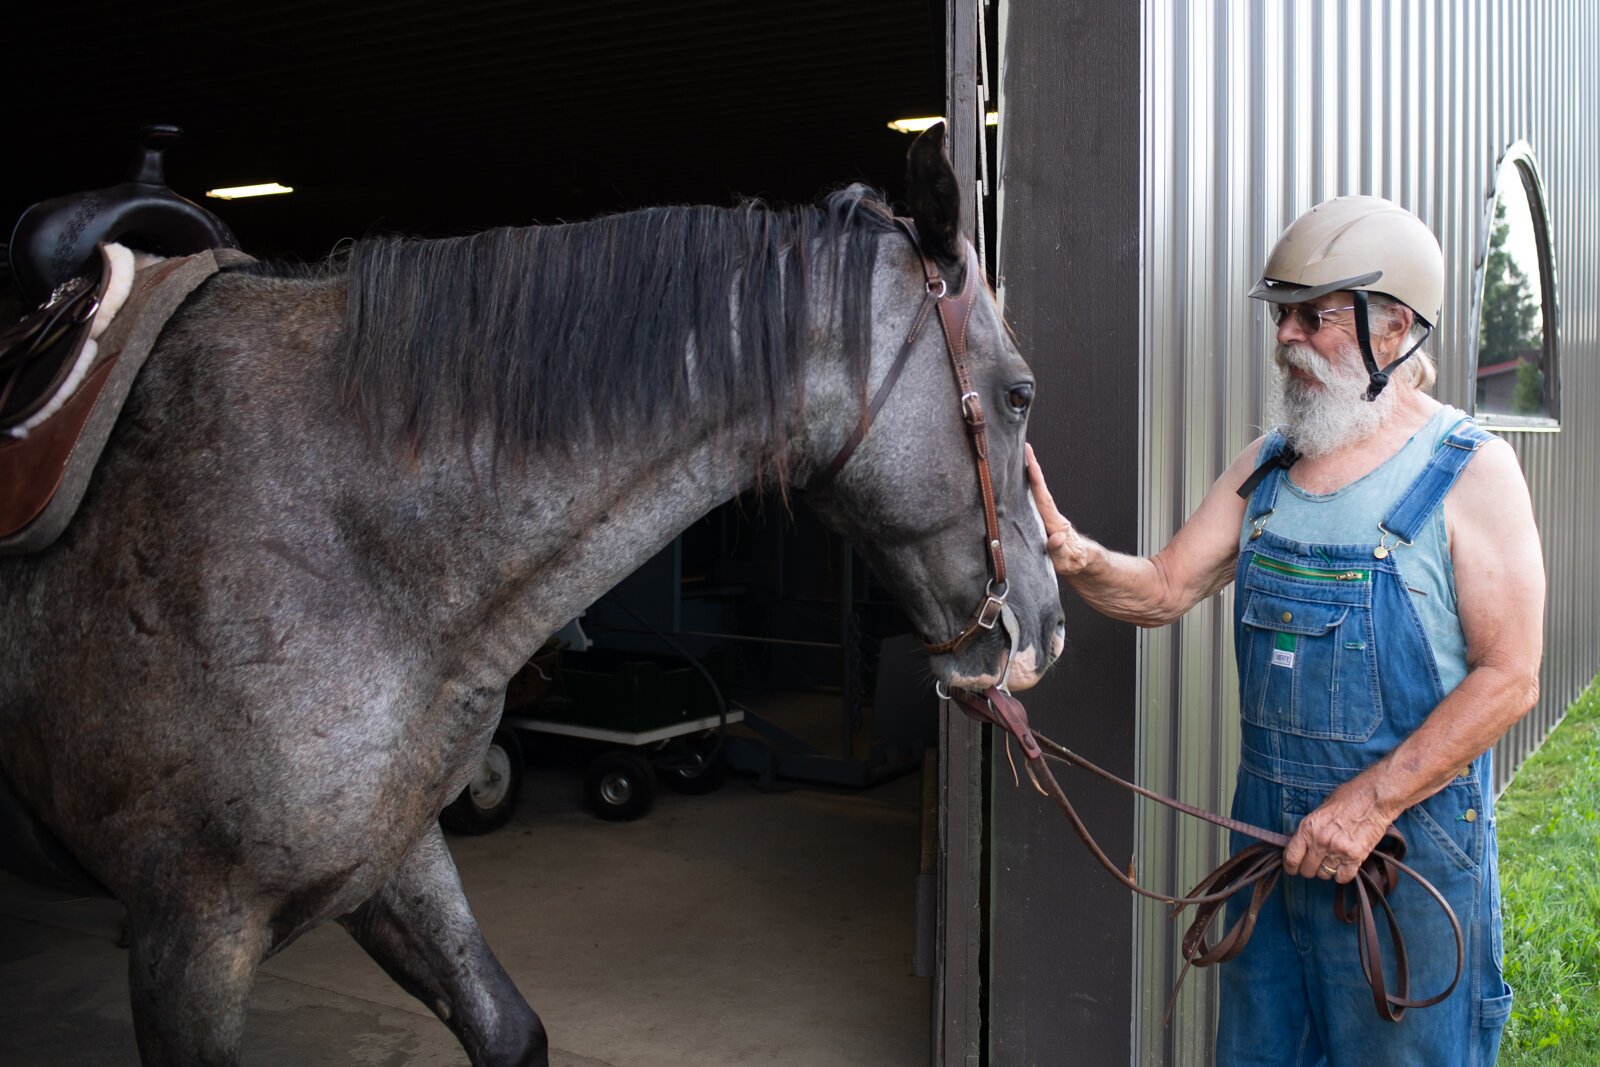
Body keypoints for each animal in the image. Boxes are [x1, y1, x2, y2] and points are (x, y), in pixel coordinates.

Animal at [0, 127, 1068, 1067]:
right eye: (1018, 394)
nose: (1048, 628)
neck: (328, 534)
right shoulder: (193, 932)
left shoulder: (393, 856)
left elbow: (510, 1030)